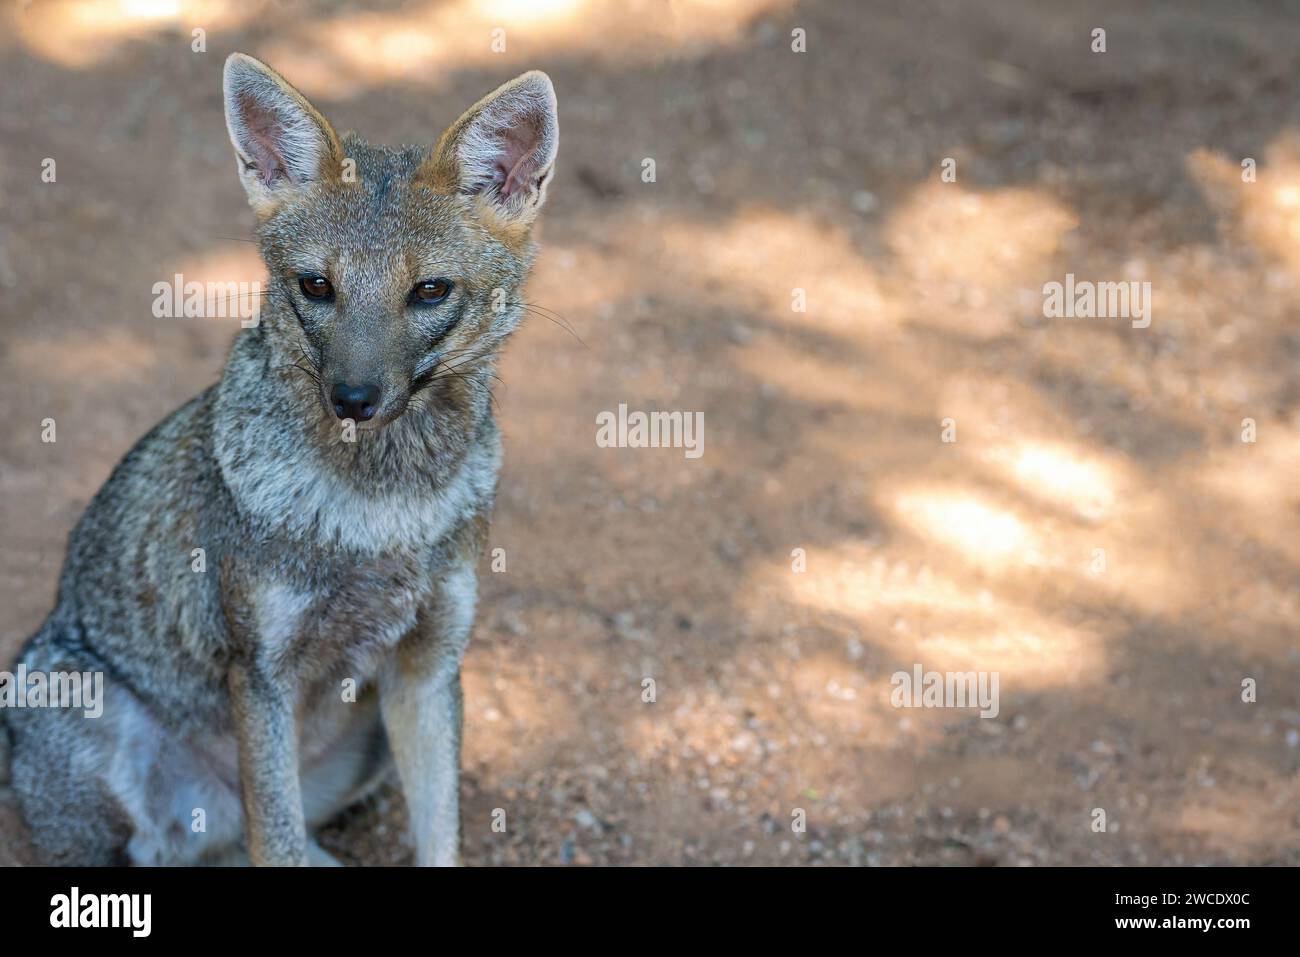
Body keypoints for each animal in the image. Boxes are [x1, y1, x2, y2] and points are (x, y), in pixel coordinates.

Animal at [0, 52, 553, 868]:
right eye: (316, 285)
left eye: (429, 291)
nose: (353, 397)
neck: (382, 511)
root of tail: (208, 825)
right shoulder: (260, 672)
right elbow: (281, 839)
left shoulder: (429, 666)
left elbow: (439, 837)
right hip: (85, 713)